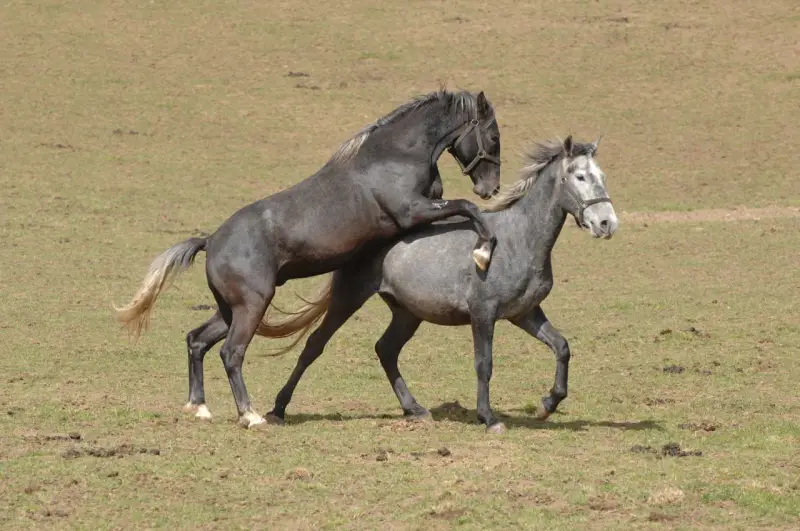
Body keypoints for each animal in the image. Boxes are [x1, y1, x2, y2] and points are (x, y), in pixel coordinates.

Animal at [115, 89, 503, 429]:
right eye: (493, 136)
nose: (491, 188)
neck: (396, 154)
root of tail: (211, 241)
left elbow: (461, 209)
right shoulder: (414, 211)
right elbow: (466, 207)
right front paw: (484, 250)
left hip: (230, 310)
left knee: (197, 340)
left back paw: (199, 407)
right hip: (253, 305)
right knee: (231, 352)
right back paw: (250, 415)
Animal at [267, 136, 618, 432]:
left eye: (601, 175)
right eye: (579, 177)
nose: (607, 223)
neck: (518, 239)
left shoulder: (524, 313)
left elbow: (562, 347)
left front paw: (548, 404)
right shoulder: (483, 313)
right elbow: (484, 364)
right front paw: (489, 418)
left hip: (407, 313)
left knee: (386, 349)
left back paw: (414, 409)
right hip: (348, 298)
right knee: (315, 345)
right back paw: (277, 409)